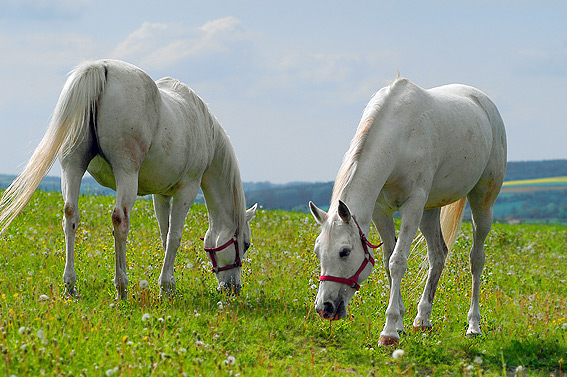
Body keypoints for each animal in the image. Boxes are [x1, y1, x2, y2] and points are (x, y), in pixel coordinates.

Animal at [0, 58, 258, 298]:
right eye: (245, 244)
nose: (233, 288)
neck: (205, 129)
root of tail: (100, 67)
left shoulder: (161, 194)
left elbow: (164, 236)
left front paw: (169, 285)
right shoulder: (187, 189)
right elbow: (174, 237)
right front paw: (166, 287)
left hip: (72, 166)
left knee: (70, 215)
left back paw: (70, 286)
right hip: (126, 172)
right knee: (119, 219)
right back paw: (121, 287)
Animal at [308, 75, 508, 344]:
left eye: (345, 252)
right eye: (318, 252)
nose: (324, 308)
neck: (399, 139)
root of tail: (485, 104)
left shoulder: (412, 206)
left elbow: (398, 261)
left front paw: (389, 332)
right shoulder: (381, 211)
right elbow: (387, 261)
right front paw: (400, 323)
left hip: (482, 201)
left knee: (476, 259)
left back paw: (473, 325)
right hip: (430, 209)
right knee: (438, 255)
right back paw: (422, 320)